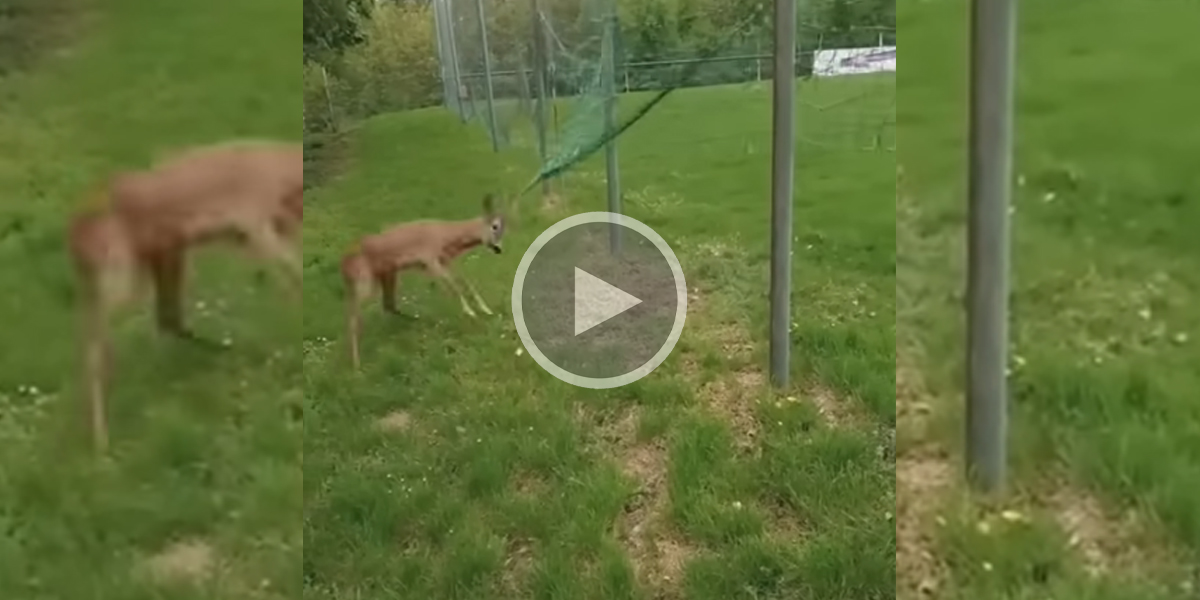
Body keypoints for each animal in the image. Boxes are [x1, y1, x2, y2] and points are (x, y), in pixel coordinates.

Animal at [66, 139, 304, 451]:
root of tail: (74, 239)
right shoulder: (254, 221)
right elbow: (294, 275)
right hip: (121, 272)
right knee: (96, 347)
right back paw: (101, 442)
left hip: (159, 258)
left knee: (165, 320)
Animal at [340, 192, 504, 369]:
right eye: (495, 226)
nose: (498, 248)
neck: (446, 236)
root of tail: (343, 264)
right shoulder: (429, 259)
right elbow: (454, 286)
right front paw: (471, 312)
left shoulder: (444, 260)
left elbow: (465, 281)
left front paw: (485, 309)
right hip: (364, 281)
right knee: (353, 318)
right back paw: (356, 364)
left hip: (387, 274)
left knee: (388, 305)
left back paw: (420, 321)